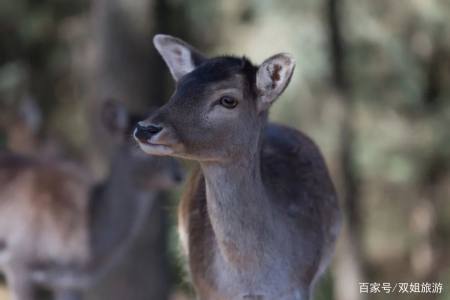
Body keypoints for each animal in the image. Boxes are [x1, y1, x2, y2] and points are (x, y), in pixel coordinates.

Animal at [134, 34, 342, 298]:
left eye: (228, 100)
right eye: (178, 88)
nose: (145, 128)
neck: (250, 279)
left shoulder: (300, 285)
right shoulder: (205, 287)